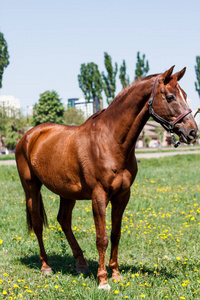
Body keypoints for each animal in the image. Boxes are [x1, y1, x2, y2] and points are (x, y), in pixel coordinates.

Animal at [15, 67, 198, 290]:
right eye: (170, 97)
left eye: (186, 95)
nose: (192, 132)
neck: (110, 141)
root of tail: (29, 135)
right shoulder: (99, 196)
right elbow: (101, 237)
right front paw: (103, 280)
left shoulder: (122, 196)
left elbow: (115, 234)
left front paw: (116, 274)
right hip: (31, 187)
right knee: (38, 223)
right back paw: (46, 266)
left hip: (67, 192)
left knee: (64, 220)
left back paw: (81, 264)